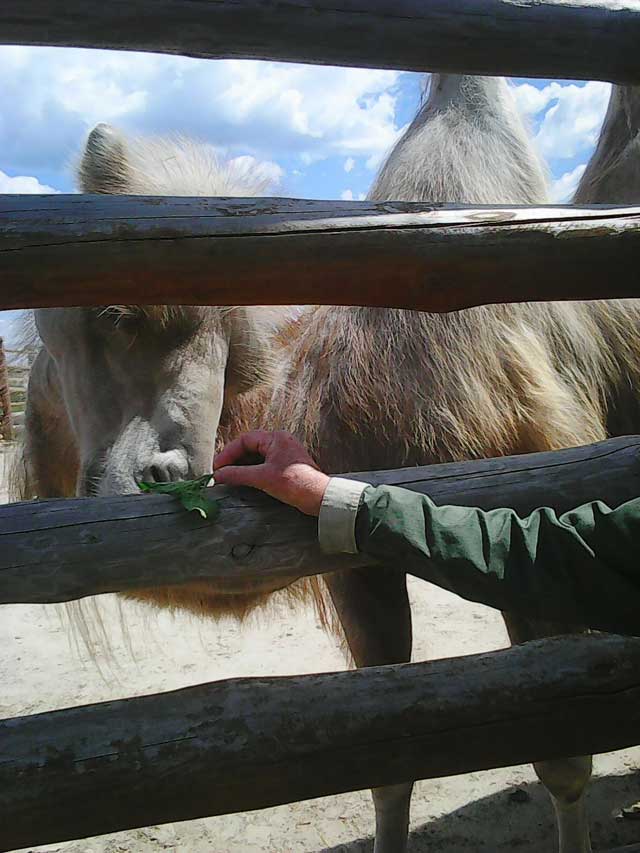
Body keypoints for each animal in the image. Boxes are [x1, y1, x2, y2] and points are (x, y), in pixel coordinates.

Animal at [13, 80, 640, 852]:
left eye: (119, 312)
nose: (154, 473)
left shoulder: (538, 498)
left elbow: (563, 754)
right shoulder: (355, 562)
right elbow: (386, 756)